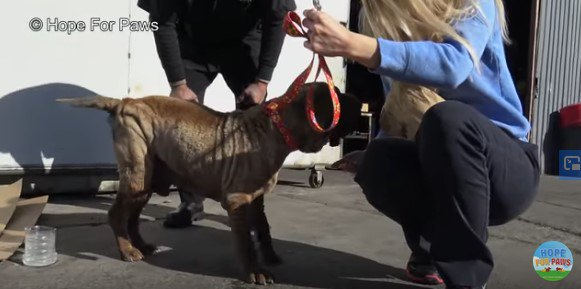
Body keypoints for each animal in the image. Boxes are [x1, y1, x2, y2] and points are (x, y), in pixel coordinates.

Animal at [57, 82, 358, 284]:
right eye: (338, 96)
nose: (359, 99)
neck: (277, 126)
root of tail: (126, 101)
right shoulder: (238, 201)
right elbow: (245, 242)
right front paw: (255, 271)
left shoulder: (256, 199)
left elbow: (263, 227)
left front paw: (270, 255)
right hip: (137, 174)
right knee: (117, 214)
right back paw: (128, 250)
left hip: (147, 178)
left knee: (132, 216)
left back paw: (142, 246)